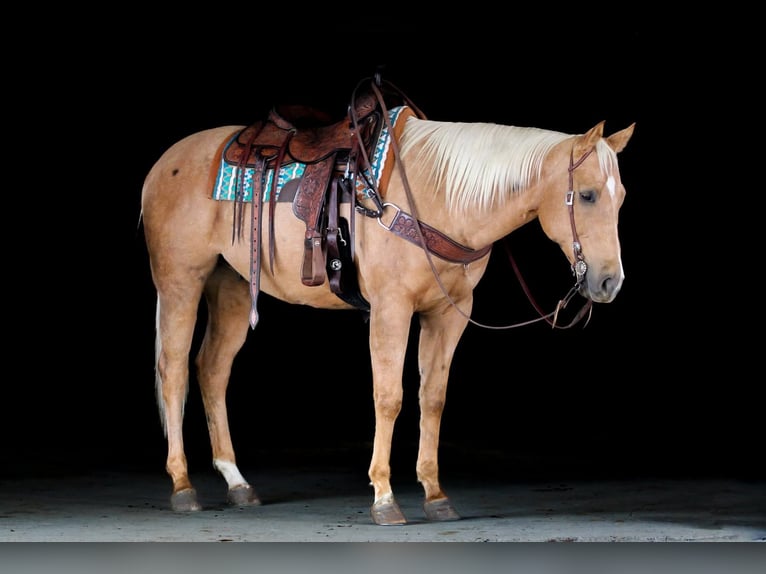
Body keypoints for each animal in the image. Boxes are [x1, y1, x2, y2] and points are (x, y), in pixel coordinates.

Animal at [140, 77, 635, 525]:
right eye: (587, 195)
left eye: (620, 198)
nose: (609, 282)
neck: (438, 194)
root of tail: (163, 164)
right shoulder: (391, 310)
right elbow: (389, 396)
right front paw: (384, 497)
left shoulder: (448, 315)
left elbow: (432, 397)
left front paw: (435, 495)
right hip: (181, 282)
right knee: (174, 372)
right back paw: (183, 486)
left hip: (234, 286)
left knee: (211, 370)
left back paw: (237, 482)